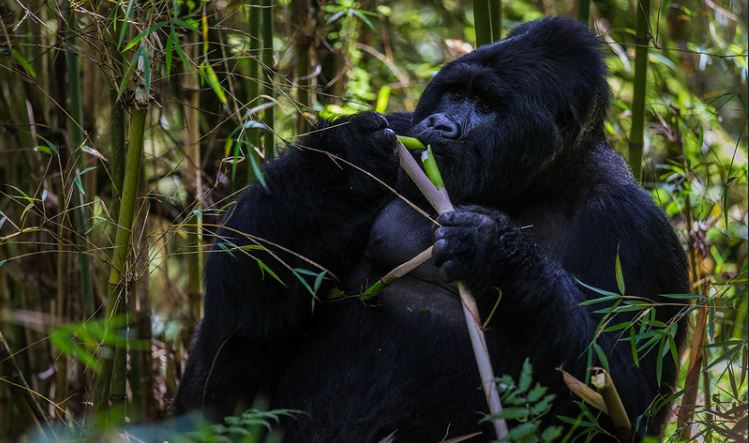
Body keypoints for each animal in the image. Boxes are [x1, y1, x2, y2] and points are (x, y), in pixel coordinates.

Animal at [172, 15, 688, 442]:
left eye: (486, 105)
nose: (440, 124)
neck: (537, 181)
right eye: (455, 94)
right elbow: (254, 284)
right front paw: (343, 156)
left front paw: (495, 253)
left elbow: (618, 398)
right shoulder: (403, 126)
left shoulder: (637, 230)